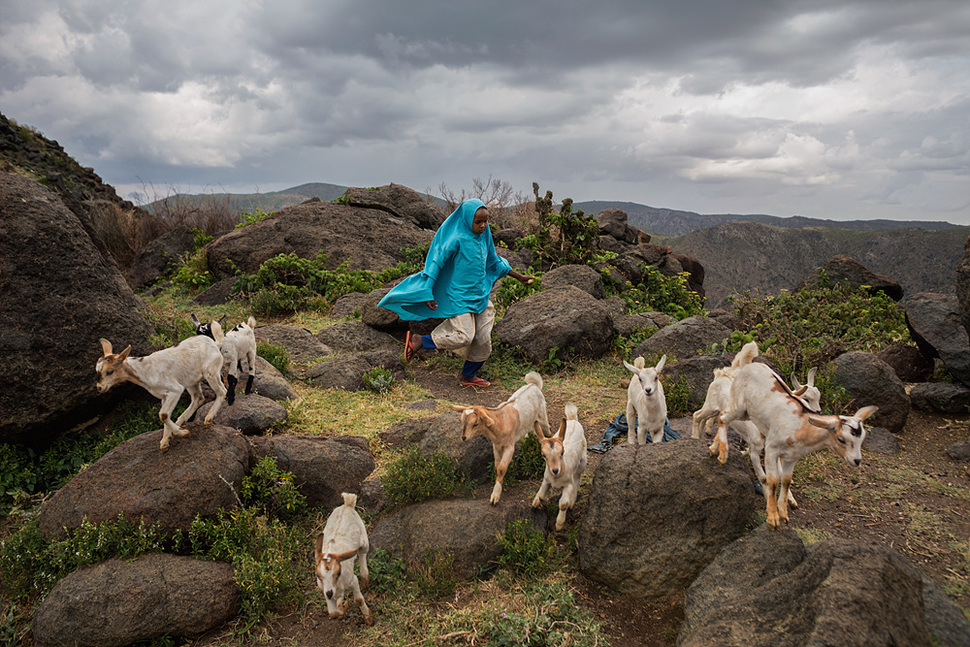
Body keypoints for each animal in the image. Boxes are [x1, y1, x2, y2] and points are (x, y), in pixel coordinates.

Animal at [97, 326, 228, 454]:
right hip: (191, 380)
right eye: (97, 370)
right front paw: (165, 442)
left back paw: (208, 419)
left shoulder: (175, 390)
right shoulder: (164, 396)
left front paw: (184, 434)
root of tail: (215, 344)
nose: (99, 387)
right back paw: (179, 423)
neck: (145, 371)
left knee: (222, 391)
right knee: (198, 398)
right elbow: (166, 415)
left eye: (109, 371)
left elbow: (163, 415)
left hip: (211, 372)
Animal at [314, 494, 370, 624]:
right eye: (318, 575)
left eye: (339, 573)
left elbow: (359, 600)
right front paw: (343, 606)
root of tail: (347, 504)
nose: (330, 593)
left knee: (363, 554)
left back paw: (365, 579)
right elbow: (333, 613)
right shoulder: (325, 590)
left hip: (364, 538)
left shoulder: (353, 580)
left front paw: (369, 619)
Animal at [450, 370, 548, 506]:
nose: (464, 437)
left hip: (543, 417)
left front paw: (495, 496)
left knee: (548, 428)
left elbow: (501, 468)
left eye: (475, 424)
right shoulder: (496, 446)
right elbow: (497, 467)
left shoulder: (509, 447)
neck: (500, 421)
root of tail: (534, 385)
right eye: (462, 421)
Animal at [532, 404, 588, 532]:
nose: (555, 470)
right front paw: (543, 502)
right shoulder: (546, 480)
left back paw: (572, 502)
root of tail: (573, 420)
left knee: (577, 479)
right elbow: (542, 495)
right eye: (543, 455)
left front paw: (559, 525)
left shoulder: (568, 484)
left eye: (562, 452)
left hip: (582, 462)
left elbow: (563, 504)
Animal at [712, 360, 876, 532]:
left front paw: (784, 514)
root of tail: (751, 365)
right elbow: (772, 481)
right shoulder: (771, 450)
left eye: (861, 439)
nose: (857, 461)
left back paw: (714, 449)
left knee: (723, 416)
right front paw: (773, 519)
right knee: (722, 417)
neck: (799, 426)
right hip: (739, 407)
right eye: (841, 439)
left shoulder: (792, 457)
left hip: (746, 413)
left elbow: (786, 480)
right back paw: (722, 455)